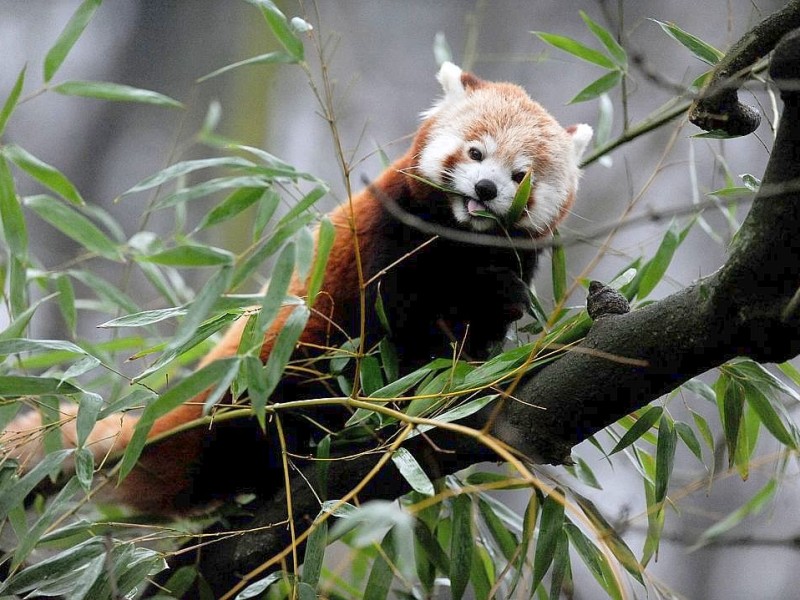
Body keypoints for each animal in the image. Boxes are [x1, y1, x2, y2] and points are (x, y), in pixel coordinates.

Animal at [3, 64, 592, 516]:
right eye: (475, 153)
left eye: (520, 175)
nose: (487, 190)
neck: (460, 239)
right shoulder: (389, 240)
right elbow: (397, 317)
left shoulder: (504, 260)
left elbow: (485, 318)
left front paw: (477, 353)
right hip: (265, 371)